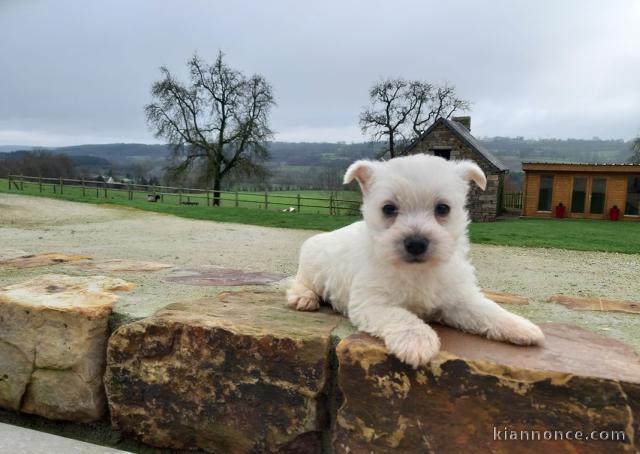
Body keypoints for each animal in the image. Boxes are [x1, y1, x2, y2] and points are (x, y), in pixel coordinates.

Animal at [288, 154, 544, 368]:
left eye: (443, 208)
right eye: (388, 208)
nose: (416, 243)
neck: (418, 271)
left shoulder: (459, 299)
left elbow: (487, 309)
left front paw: (520, 326)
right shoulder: (373, 303)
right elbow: (401, 316)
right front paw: (417, 341)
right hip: (312, 268)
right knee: (298, 281)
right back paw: (304, 297)